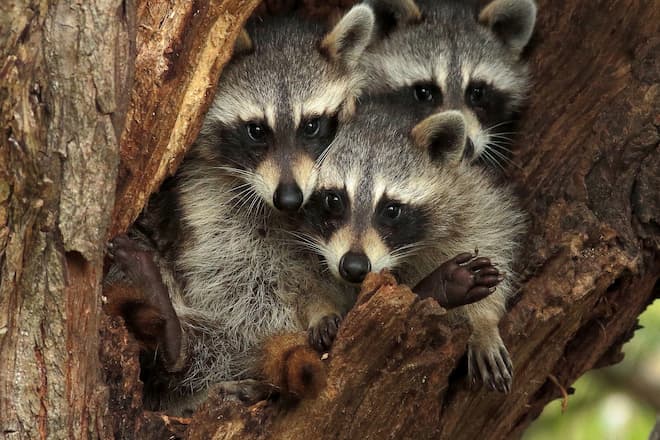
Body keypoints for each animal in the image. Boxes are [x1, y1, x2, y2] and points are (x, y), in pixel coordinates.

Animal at [105, 6, 374, 412]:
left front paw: (322, 308)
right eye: (257, 130)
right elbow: (235, 285)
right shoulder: (203, 200)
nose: (290, 198)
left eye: (311, 125)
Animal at [302, 100, 524, 392]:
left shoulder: (468, 195)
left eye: (391, 209)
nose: (354, 266)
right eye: (334, 200)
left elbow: (492, 236)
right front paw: (320, 309)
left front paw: (483, 323)